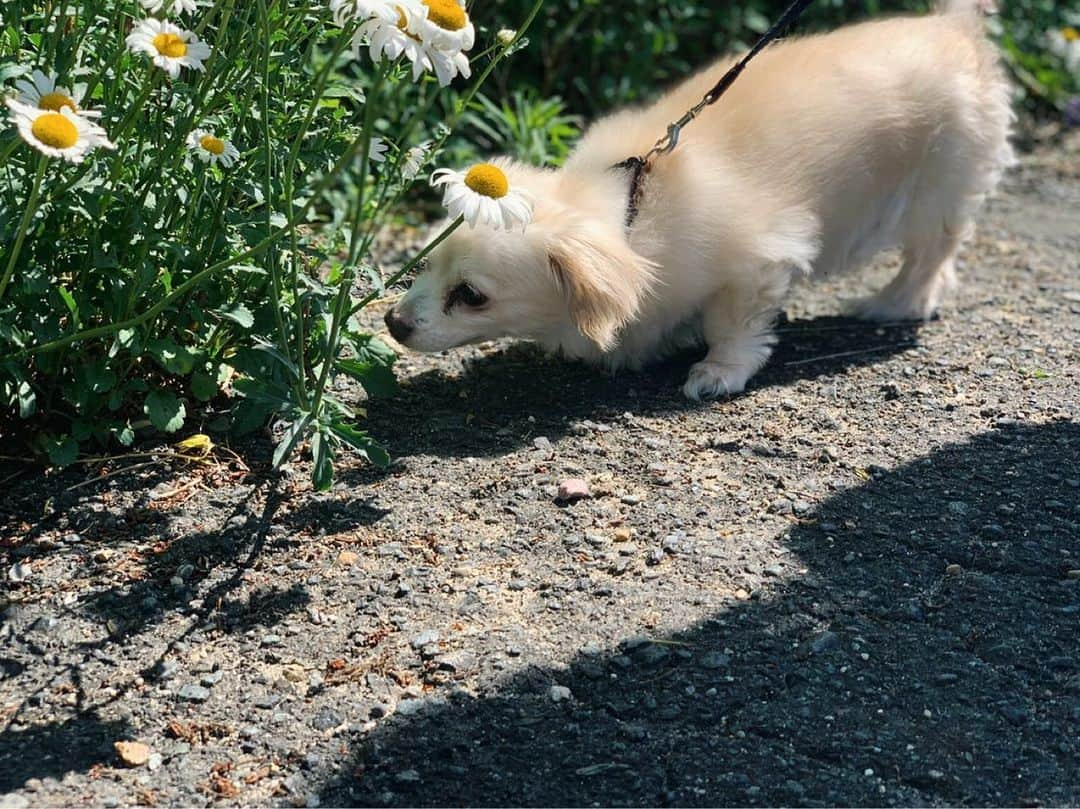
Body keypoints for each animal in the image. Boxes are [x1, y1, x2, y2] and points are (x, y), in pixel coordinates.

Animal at [386, 0, 1010, 399]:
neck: (636, 211)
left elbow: (733, 327)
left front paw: (717, 371)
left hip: (936, 193)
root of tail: (955, 28)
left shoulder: (757, 265)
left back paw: (894, 302)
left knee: (931, 258)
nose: (393, 324)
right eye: (423, 265)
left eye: (471, 295)